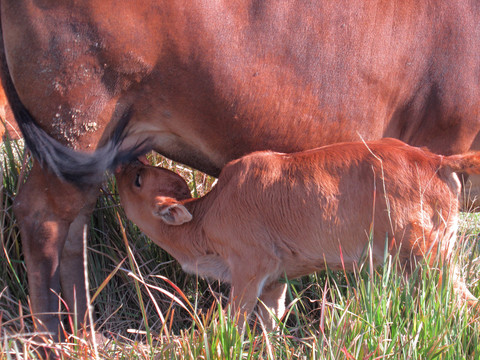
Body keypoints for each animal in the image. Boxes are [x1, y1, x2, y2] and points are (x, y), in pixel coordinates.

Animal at [115, 139, 476, 330]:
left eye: (138, 179)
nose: (124, 163)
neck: (205, 217)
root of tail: (436, 159)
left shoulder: (250, 269)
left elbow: (233, 321)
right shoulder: (276, 281)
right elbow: (270, 323)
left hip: (427, 258)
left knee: (464, 303)